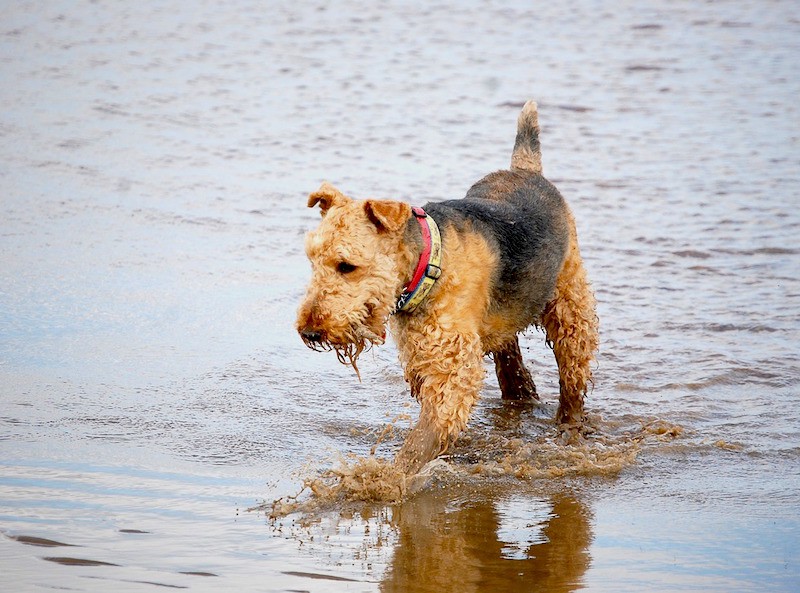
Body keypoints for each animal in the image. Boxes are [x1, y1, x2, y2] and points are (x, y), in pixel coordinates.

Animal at [296, 100, 596, 472]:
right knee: (510, 361)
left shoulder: (452, 368)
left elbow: (423, 439)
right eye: (312, 260)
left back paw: (569, 430)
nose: (309, 331)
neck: (428, 266)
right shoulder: (422, 360)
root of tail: (527, 170)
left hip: (571, 308)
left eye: (346, 266)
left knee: (572, 382)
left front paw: (388, 478)